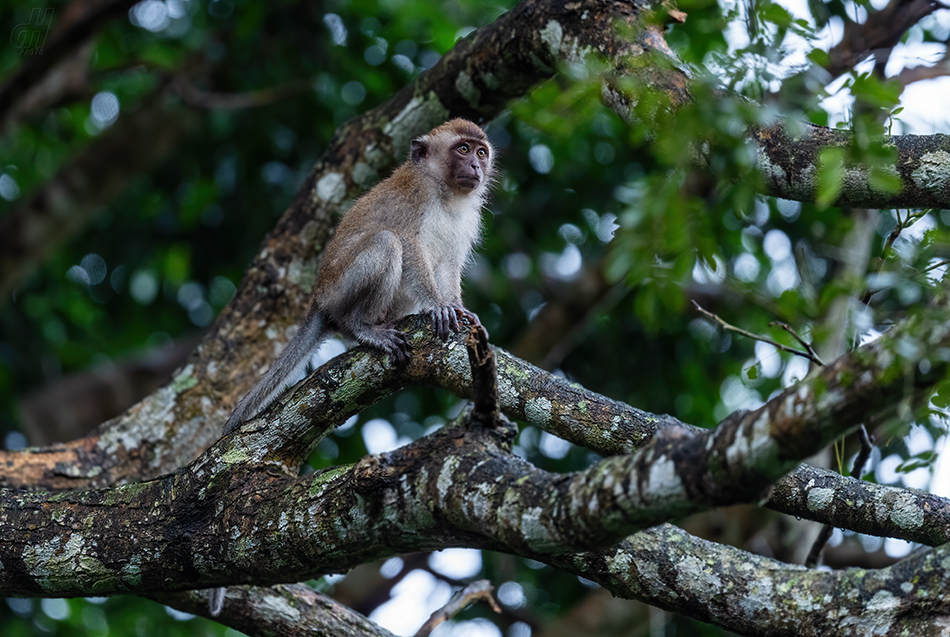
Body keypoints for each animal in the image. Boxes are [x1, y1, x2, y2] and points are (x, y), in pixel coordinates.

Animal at [220, 120, 494, 434]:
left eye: (481, 152)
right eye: (463, 149)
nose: (475, 165)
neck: (445, 191)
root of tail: (318, 299)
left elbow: (448, 263)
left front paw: (458, 308)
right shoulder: (415, 196)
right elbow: (409, 245)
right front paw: (438, 305)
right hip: (338, 290)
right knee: (387, 242)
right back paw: (362, 327)